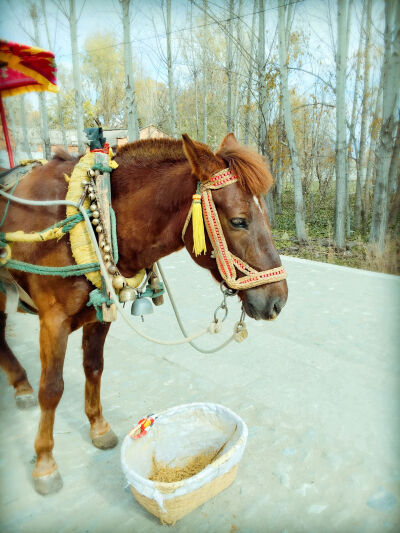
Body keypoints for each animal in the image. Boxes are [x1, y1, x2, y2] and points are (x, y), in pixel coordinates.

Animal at [0, 133, 288, 494]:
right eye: (239, 221)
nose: (278, 300)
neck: (95, 216)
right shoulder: (53, 320)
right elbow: (51, 388)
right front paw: (44, 463)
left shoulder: (98, 314)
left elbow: (94, 368)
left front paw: (98, 427)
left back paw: (20, 385)